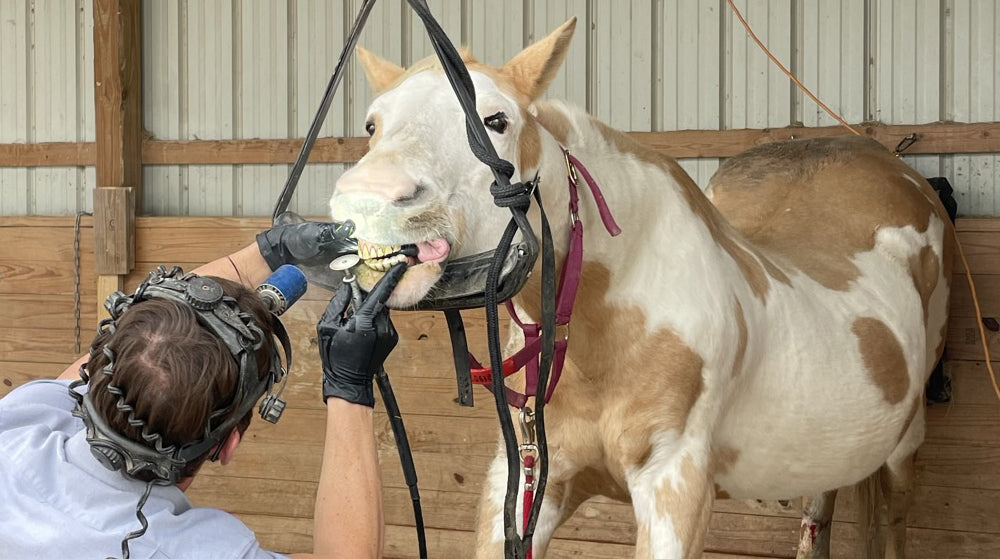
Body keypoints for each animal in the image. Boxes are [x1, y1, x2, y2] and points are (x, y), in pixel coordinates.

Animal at [328, 17, 952, 559]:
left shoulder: (674, 486)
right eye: (372, 125)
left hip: (904, 450)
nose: (367, 202)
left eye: (497, 121)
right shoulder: (526, 478)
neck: (609, 329)